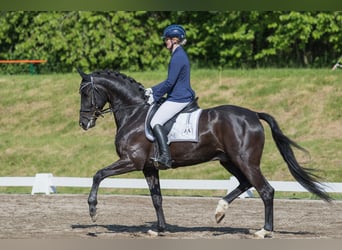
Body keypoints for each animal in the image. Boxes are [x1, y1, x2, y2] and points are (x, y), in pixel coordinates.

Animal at [78, 69, 332, 238]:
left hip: (246, 160)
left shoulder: (131, 161)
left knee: (266, 190)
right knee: (245, 183)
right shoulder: (149, 167)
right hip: (229, 161)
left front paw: (92, 211)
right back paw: (220, 211)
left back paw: (263, 231)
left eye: (86, 93)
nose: (83, 123)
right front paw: (160, 229)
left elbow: (98, 174)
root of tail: (252, 114)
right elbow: (157, 198)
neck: (134, 114)